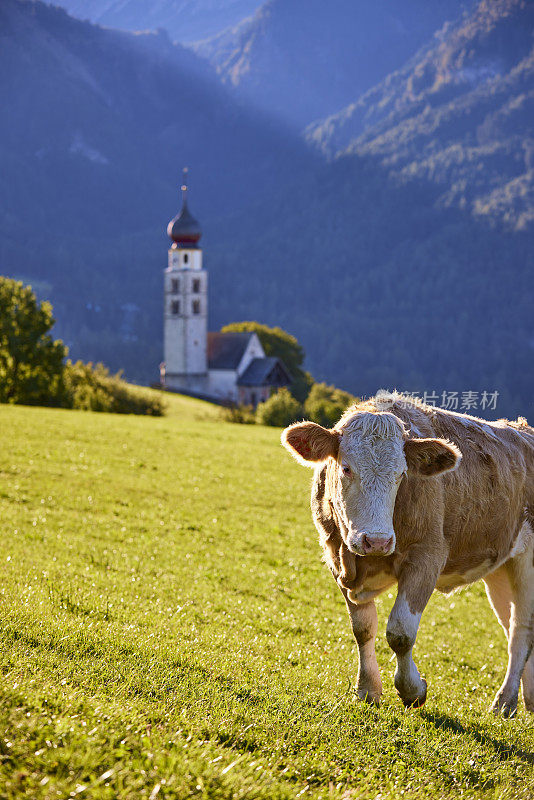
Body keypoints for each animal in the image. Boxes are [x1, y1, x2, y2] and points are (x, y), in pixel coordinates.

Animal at [282, 390, 534, 716]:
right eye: (346, 468)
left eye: (402, 474)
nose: (376, 541)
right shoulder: (336, 558)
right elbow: (363, 628)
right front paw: (368, 689)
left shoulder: (426, 558)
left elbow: (400, 633)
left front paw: (412, 690)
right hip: (501, 567)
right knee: (511, 625)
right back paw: (528, 699)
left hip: (527, 563)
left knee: (521, 630)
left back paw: (504, 701)